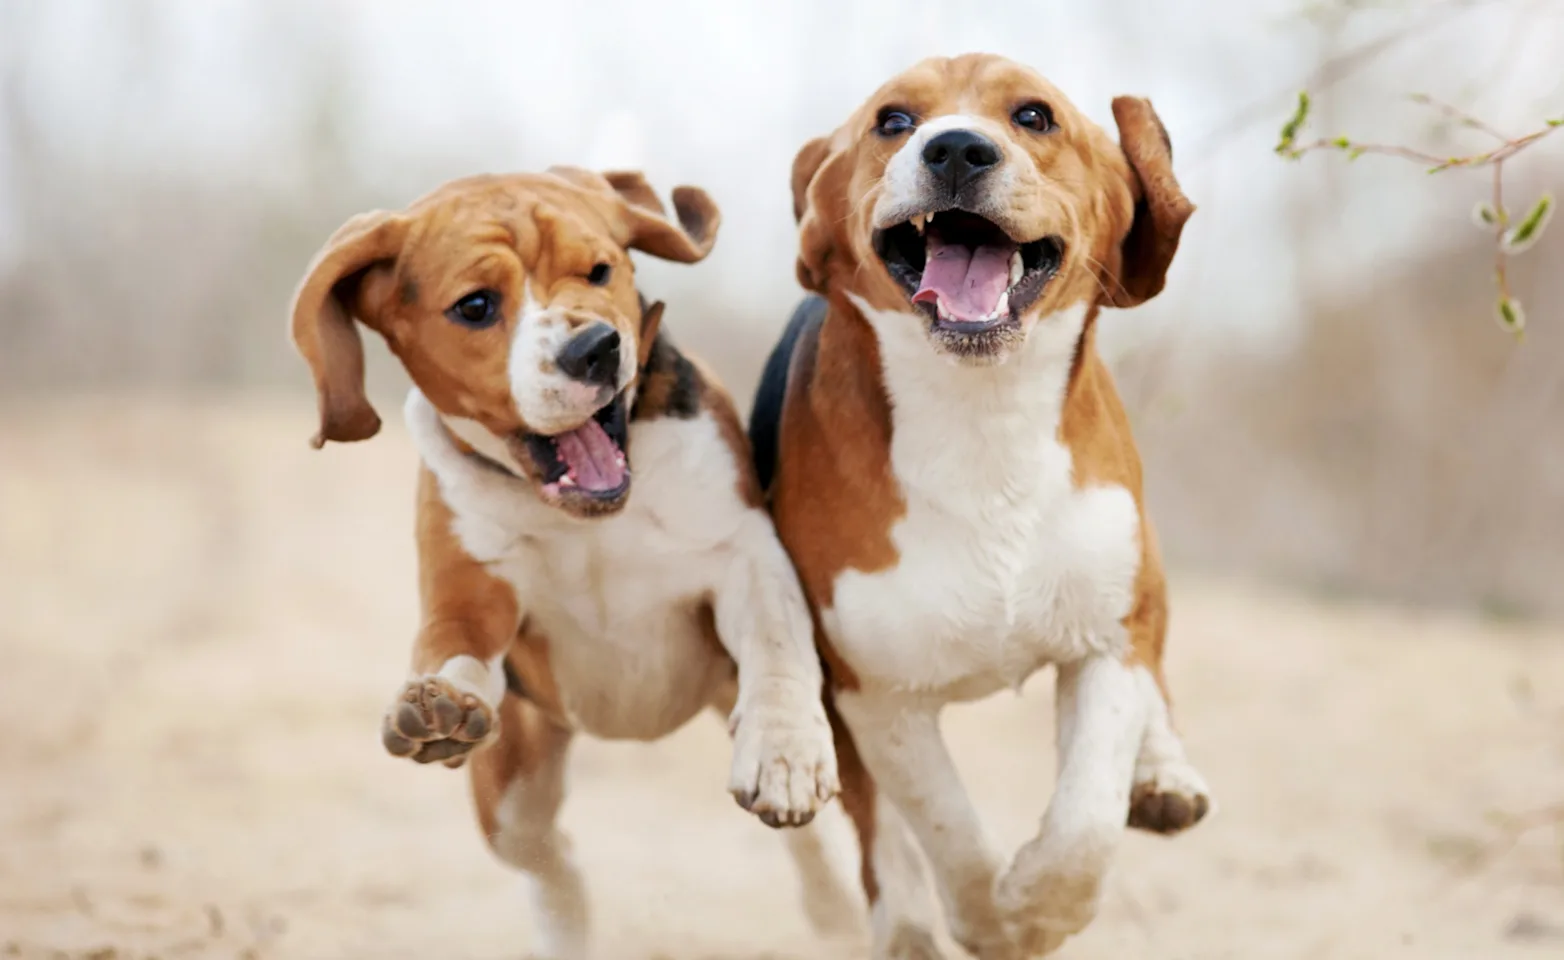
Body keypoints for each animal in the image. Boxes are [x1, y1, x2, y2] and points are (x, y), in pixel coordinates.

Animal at [294, 169, 857, 956]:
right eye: (475, 306)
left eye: (599, 271)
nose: (596, 348)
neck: (589, 516)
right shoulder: (469, 597)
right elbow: (452, 647)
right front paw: (439, 703)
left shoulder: (745, 556)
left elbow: (778, 655)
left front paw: (784, 752)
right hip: (513, 791)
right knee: (549, 859)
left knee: (811, 846)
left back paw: (834, 903)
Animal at [750, 56, 1213, 956]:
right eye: (894, 121)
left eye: (1033, 116)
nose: (957, 149)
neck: (982, 411)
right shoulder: (874, 690)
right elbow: (946, 830)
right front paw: (994, 919)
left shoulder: (1104, 644)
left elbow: (1084, 825)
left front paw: (1037, 905)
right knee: (883, 846)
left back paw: (1164, 769)